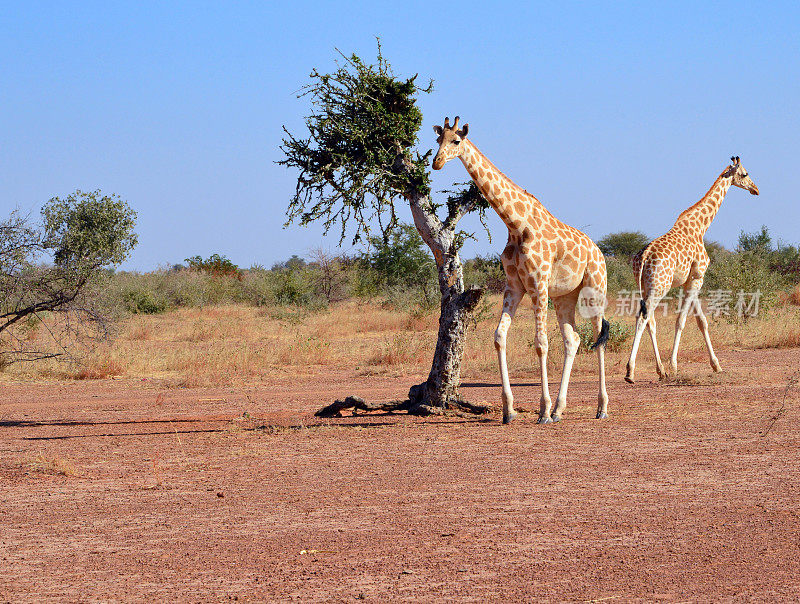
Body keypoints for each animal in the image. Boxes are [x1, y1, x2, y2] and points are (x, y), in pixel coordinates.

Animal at [434, 115, 608, 422]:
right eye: (436, 140)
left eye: (455, 140)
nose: (437, 162)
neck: (515, 224)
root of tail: (600, 253)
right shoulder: (514, 286)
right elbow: (499, 337)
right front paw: (509, 409)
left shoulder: (538, 284)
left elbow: (540, 343)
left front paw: (543, 411)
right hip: (564, 297)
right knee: (572, 339)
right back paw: (561, 409)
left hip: (594, 291)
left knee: (599, 338)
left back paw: (601, 408)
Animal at [624, 156, 764, 382]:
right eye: (745, 173)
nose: (755, 189)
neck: (700, 227)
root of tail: (643, 258)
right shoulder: (698, 277)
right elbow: (681, 320)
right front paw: (674, 366)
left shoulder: (691, 281)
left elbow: (702, 322)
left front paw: (716, 365)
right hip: (659, 286)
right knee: (644, 318)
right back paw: (631, 371)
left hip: (644, 287)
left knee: (649, 320)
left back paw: (660, 370)